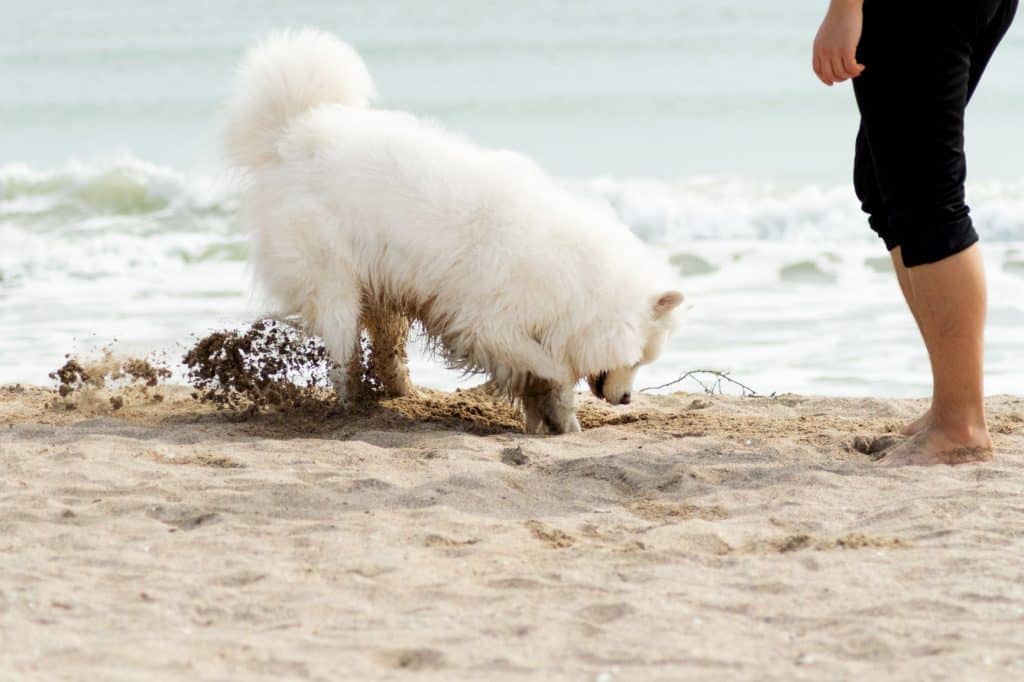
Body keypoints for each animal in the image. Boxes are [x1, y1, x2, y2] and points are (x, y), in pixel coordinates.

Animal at [225, 29, 688, 432]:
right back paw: (351, 404)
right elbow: (551, 370)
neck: (578, 284)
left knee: (387, 348)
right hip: (335, 285)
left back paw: (402, 394)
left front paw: (563, 428)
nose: (627, 399)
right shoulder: (491, 325)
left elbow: (551, 389)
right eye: (638, 359)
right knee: (343, 353)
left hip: (384, 287)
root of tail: (293, 134)